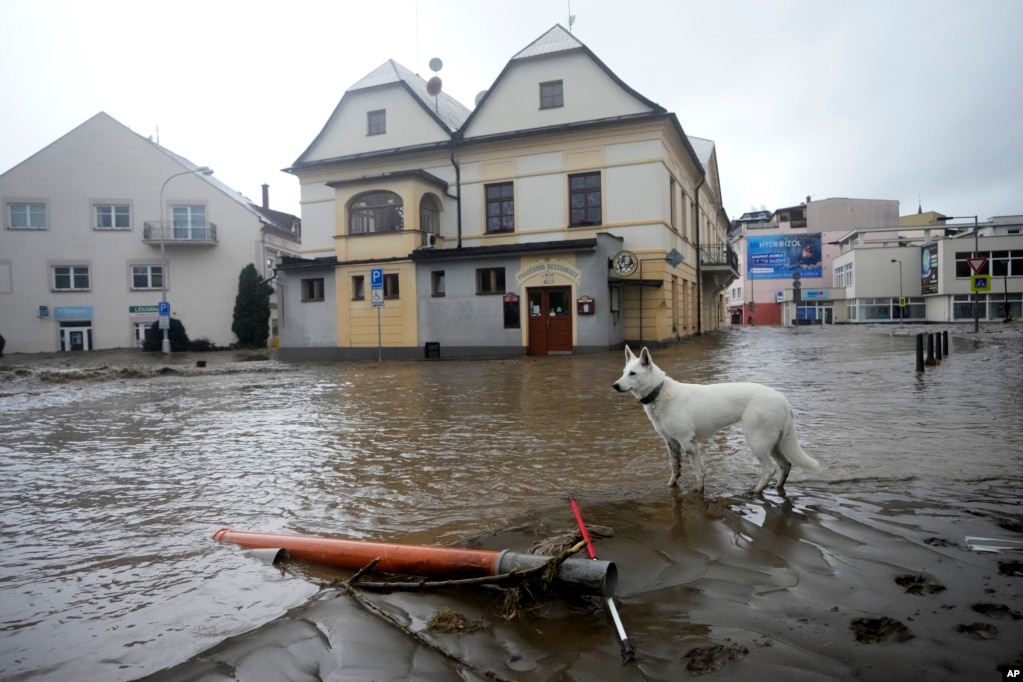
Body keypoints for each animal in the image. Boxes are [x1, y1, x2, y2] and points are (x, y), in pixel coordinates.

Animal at [609, 343, 818, 492]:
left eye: (633, 373)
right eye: (623, 373)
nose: (615, 386)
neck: (659, 393)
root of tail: (783, 400)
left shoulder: (688, 442)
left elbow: (698, 472)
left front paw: (698, 491)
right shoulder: (672, 442)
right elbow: (676, 468)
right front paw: (671, 486)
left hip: (757, 441)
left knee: (769, 470)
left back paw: (756, 491)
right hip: (774, 443)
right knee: (786, 465)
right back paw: (777, 487)